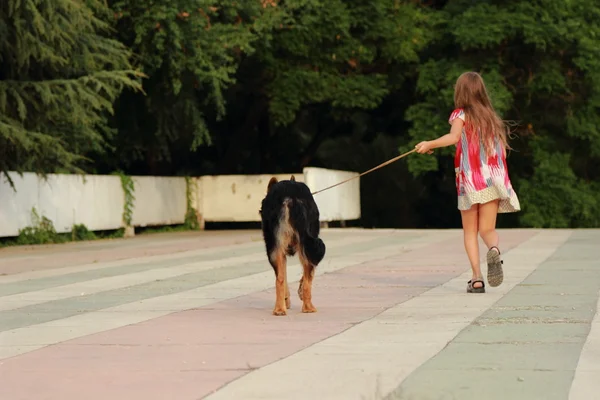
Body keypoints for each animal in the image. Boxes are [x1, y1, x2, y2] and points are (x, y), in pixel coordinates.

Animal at [258, 175, 326, 316]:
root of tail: (292, 197)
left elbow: (283, 276)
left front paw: (286, 299)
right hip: (307, 240)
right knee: (307, 275)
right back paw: (307, 307)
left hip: (274, 246)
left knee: (280, 279)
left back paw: (280, 309)